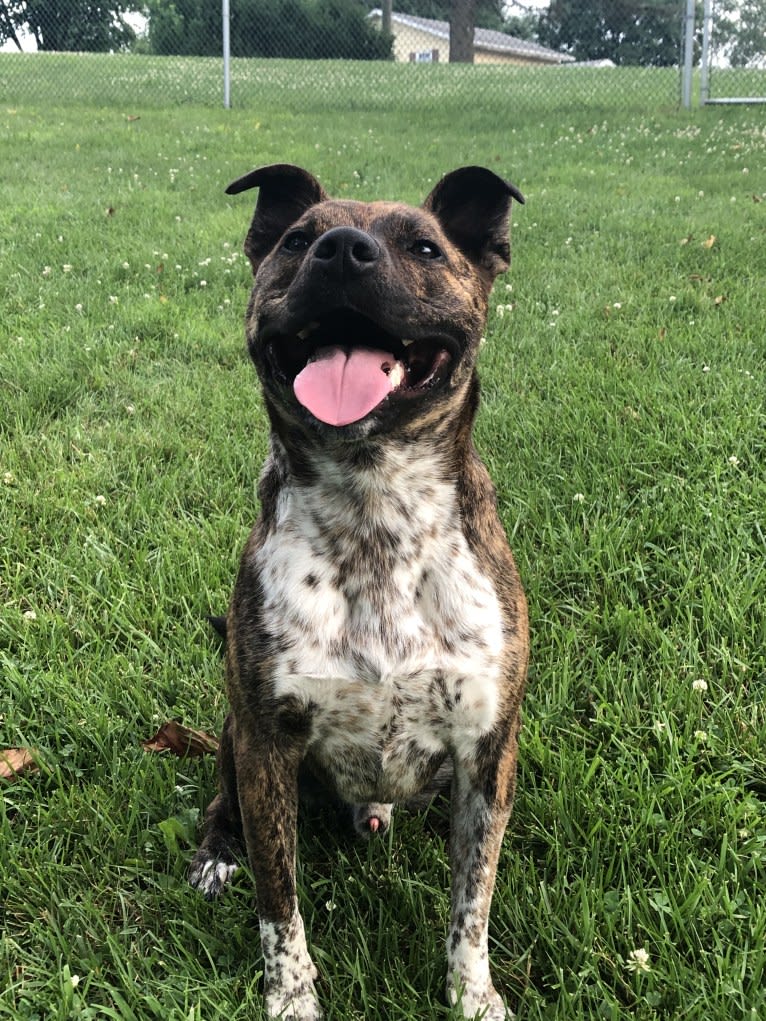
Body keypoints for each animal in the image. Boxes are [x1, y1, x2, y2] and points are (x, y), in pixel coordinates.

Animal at [188, 163, 531, 1016]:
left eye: (425, 247)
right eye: (296, 240)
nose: (343, 250)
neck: (374, 507)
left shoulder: (488, 751)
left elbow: (472, 897)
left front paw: (473, 993)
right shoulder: (267, 746)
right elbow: (279, 901)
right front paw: (291, 997)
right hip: (234, 736)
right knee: (221, 805)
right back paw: (215, 852)